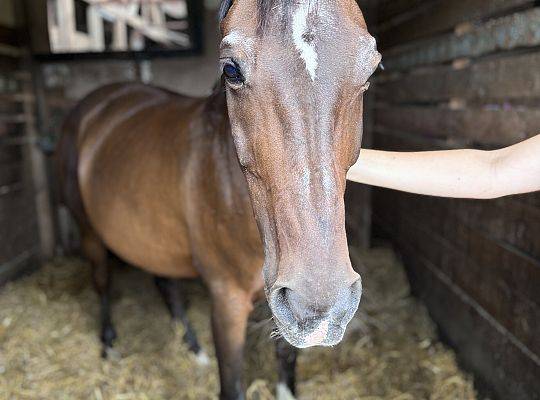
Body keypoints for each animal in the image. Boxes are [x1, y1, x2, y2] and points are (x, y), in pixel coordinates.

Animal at [54, 1, 380, 398]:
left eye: (371, 69)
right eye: (231, 70)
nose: (318, 305)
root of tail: (97, 103)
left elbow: (286, 361)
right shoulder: (227, 302)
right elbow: (231, 384)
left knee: (164, 283)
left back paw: (193, 350)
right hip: (89, 233)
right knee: (102, 282)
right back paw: (109, 345)